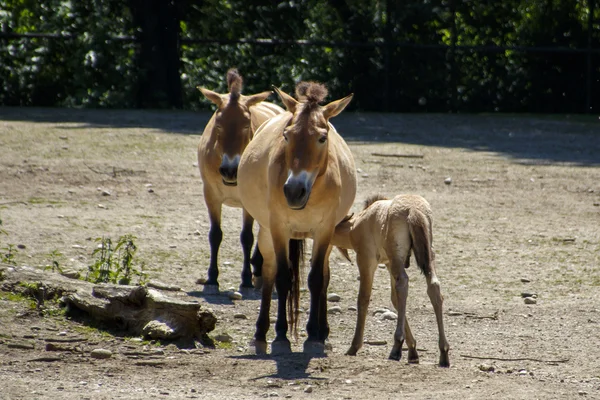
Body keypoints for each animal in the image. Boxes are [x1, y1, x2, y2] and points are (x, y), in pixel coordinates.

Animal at [196, 68, 282, 288]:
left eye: (246, 124)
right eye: (218, 124)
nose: (229, 170)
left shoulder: (247, 202)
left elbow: (247, 237)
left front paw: (245, 279)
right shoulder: (210, 196)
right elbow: (215, 234)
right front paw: (212, 277)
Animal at [237, 81, 356, 354]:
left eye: (322, 137)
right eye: (287, 135)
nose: (293, 191)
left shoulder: (324, 231)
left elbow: (316, 279)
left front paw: (313, 335)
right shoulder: (279, 229)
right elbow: (283, 278)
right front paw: (281, 335)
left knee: (325, 275)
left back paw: (323, 332)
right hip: (267, 233)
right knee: (269, 272)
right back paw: (261, 332)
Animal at [332, 195, 450, 368]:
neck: (357, 224)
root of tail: (413, 210)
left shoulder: (367, 260)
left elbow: (363, 298)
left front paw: (354, 347)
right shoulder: (387, 263)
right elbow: (395, 300)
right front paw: (413, 351)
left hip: (397, 259)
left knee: (404, 283)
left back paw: (396, 347)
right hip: (428, 256)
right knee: (433, 287)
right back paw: (443, 352)